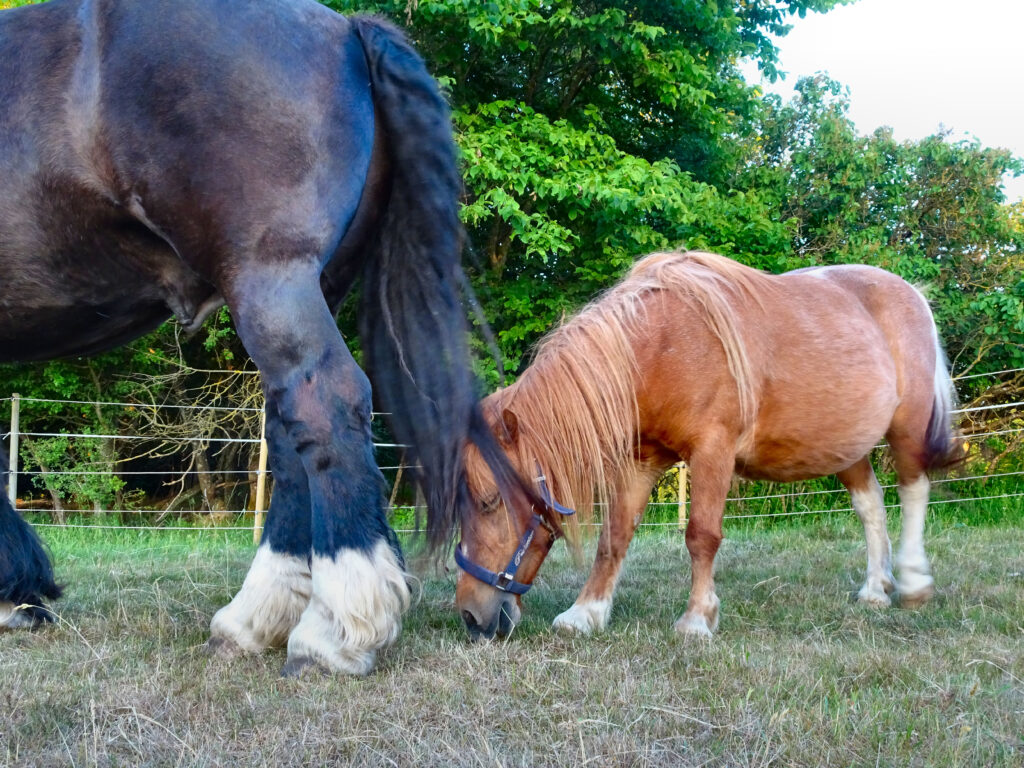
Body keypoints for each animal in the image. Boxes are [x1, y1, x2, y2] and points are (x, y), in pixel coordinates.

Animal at [0, 0, 529, 676]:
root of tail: (346, 32)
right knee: (287, 429)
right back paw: (255, 619)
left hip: (271, 279)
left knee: (324, 406)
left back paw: (334, 631)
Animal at [455, 250, 959, 641]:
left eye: (489, 501)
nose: (470, 616)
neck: (659, 347)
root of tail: (911, 293)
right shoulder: (641, 461)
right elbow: (614, 538)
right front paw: (586, 613)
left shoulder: (712, 452)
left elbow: (701, 535)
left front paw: (697, 618)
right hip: (844, 446)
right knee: (871, 506)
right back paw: (875, 589)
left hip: (908, 427)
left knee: (913, 490)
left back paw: (914, 582)